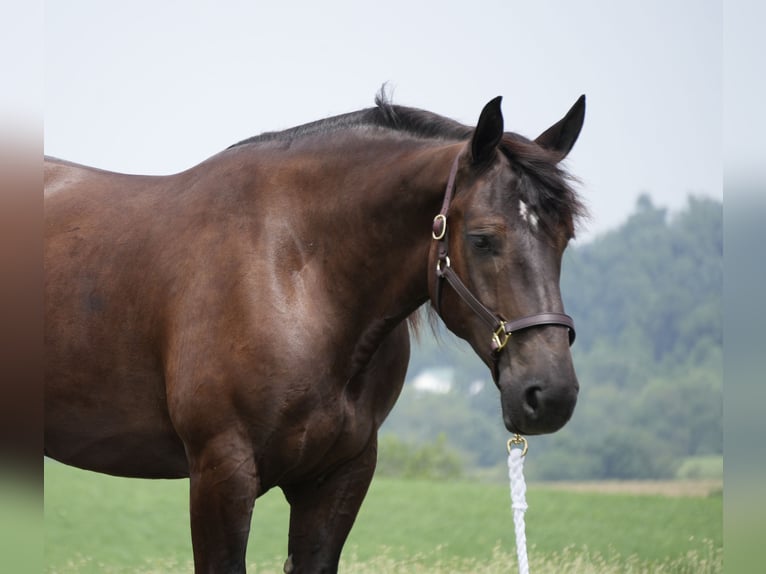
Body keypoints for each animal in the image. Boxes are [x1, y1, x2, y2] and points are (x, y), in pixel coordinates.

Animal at [44, 91, 586, 573]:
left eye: (565, 237)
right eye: (482, 238)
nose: (550, 394)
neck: (294, 272)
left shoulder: (339, 476)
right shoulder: (221, 470)